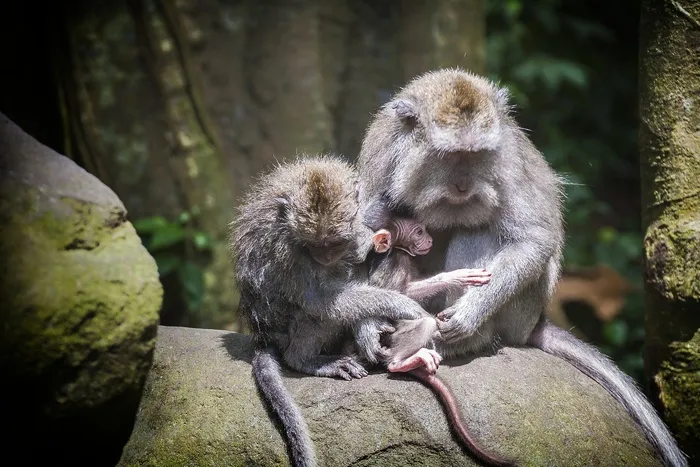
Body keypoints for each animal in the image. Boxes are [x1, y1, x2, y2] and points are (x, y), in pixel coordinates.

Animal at [229, 155, 431, 467]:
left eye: (334, 242)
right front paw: (400, 305)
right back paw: (304, 359)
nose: (325, 256)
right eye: (315, 244)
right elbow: (321, 302)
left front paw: (369, 328)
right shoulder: (288, 248)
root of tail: (262, 335)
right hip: (284, 332)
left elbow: (360, 254)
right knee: (313, 314)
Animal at [355, 68, 687, 467]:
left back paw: (461, 339)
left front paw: (469, 313)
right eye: (451, 155)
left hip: (520, 311)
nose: (464, 184)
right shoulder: (381, 153)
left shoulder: (507, 161)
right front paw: (367, 329)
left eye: (477, 155)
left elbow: (533, 240)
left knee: (479, 230)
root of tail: (535, 323)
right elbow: (363, 235)